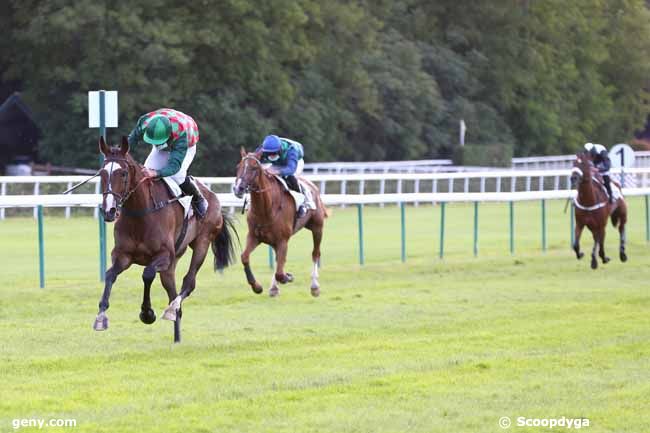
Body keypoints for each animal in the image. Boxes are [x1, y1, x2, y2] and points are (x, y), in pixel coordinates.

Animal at [93, 137, 238, 342]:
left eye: (123, 173)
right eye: (102, 174)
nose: (109, 211)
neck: (141, 213)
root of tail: (213, 196)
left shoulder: (164, 255)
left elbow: (147, 274)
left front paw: (147, 313)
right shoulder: (123, 255)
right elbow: (109, 275)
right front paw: (101, 316)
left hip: (202, 243)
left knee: (188, 283)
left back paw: (171, 309)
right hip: (171, 265)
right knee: (172, 292)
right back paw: (176, 337)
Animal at [230, 149, 326, 296]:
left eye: (254, 168)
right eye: (238, 167)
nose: (238, 188)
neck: (265, 209)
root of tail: (312, 185)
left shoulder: (283, 240)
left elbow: (280, 273)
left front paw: (288, 276)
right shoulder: (254, 236)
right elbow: (244, 257)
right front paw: (257, 286)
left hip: (317, 227)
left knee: (315, 253)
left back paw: (314, 286)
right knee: (277, 261)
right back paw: (274, 288)